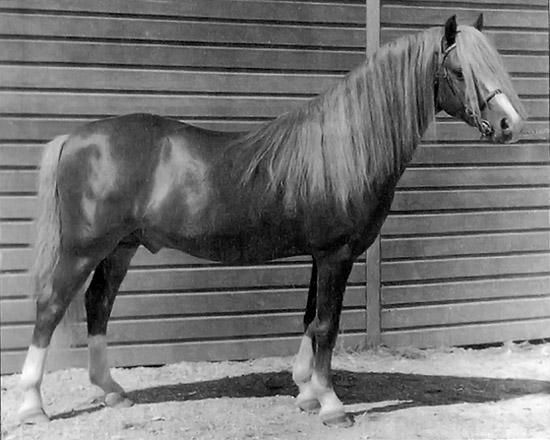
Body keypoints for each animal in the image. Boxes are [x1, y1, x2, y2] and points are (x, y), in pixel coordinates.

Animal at [17, 15, 528, 428]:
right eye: (460, 72)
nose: (511, 125)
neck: (344, 150)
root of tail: (76, 137)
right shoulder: (336, 255)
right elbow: (327, 325)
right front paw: (331, 405)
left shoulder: (320, 256)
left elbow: (309, 320)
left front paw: (306, 391)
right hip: (83, 249)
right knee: (51, 307)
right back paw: (31, 406)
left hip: (121, 248)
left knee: (98, 305)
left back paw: (111, 391)